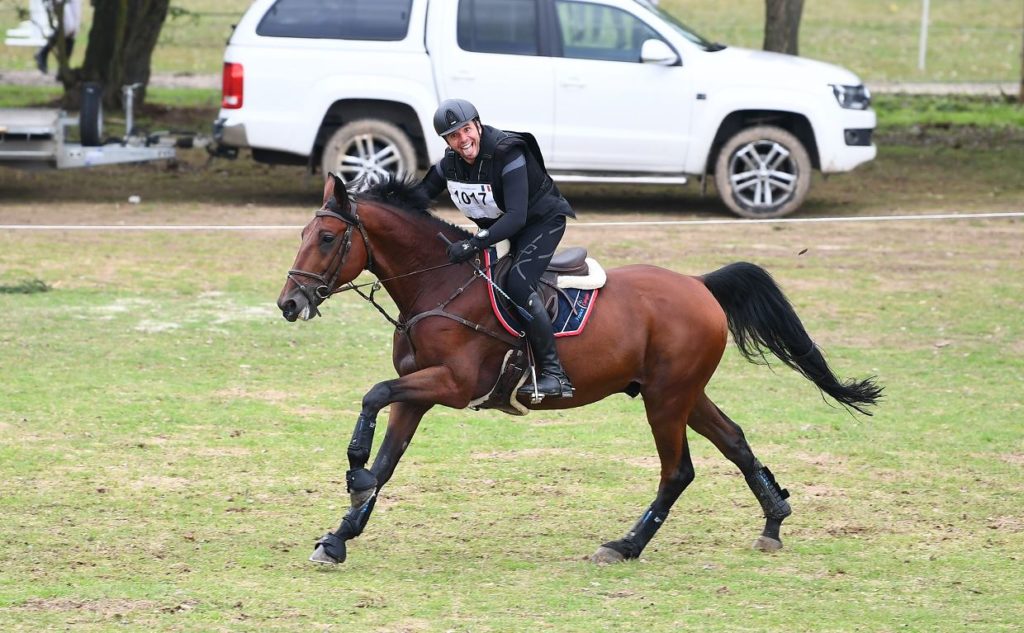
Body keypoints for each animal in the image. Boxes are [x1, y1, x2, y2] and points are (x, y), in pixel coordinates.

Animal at [278, 171, 880, 561]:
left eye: (327, 238)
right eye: (302, 235)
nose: (289, 303)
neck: (439, 284)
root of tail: (699, 285)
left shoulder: (452, 385)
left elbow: (373, 395)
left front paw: (353, 469)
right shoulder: (419, 392)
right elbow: (386, 462)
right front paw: (339, 536)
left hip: (666, 399)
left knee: (678, 471)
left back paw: (626, 545)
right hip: (679, 392)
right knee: (733, 440)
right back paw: (773, 520)